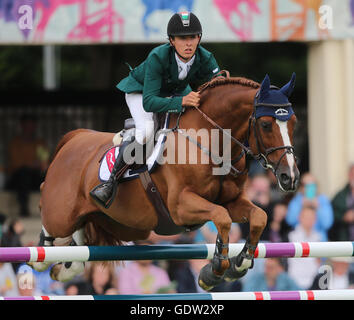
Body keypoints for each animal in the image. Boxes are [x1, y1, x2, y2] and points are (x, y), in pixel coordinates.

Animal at [29, 73, 298, 290]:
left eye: (294, 123)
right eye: (266, 124)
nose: (290, 177)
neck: (211, 143)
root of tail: (76, 137)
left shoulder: (232, 201)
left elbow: (259, 217)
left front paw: (239, 264)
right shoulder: (181, 207)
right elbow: (221, 218)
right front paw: (214, 272)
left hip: (123, 224)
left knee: (79, 237)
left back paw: (65, 268)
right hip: (61, 214)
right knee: (48, 212)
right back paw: (41, 255)